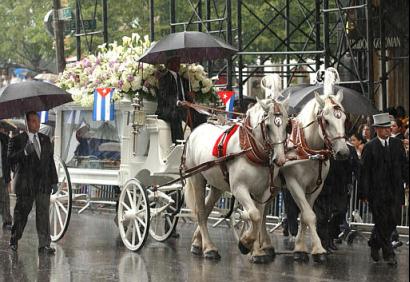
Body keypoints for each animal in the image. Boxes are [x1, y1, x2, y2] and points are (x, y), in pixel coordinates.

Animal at [184, 98, 290, 262]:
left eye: (286, 125)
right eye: (267, 126)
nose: (280, 159)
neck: (251, 149)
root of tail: (196, 130)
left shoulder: (263, 192)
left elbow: (259, 217)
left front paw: (256, 251)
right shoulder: (239, 188)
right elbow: (254, 215)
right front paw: (245, 243)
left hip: (217, 185)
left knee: (207, 210)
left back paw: (197, 242)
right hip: (197, 178)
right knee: (201, 212)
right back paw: (209, 248)